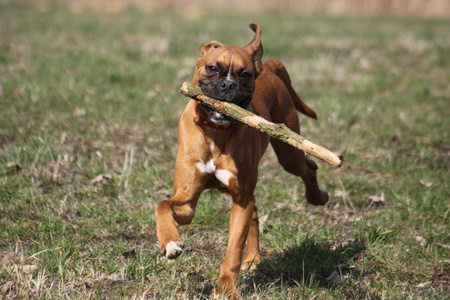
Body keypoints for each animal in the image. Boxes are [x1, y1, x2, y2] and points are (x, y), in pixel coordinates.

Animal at [156, 22, 328, 298]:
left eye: (244, 74)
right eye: (212, 67)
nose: (227, 86)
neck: (216, 132)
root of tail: (268, 66)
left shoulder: (240, 201)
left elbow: (233, 250)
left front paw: (226, 288)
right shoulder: (187, 201)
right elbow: (162, 205)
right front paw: (170, 243)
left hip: (287, 154)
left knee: (308, 166)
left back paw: (317, 198)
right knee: (256, 212)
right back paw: (253, 258)